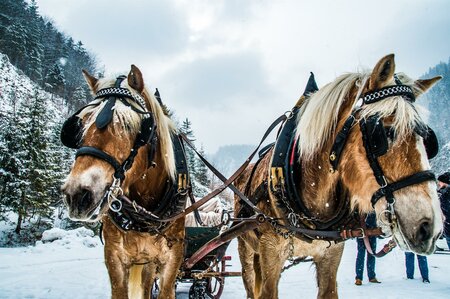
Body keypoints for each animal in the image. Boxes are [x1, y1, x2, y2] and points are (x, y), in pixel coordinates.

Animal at [236, 54, 442, 299]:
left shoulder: (332, 253)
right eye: (384, 132)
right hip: (246, 249)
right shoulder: (271, 253)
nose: (430, 227)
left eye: (428, 139)